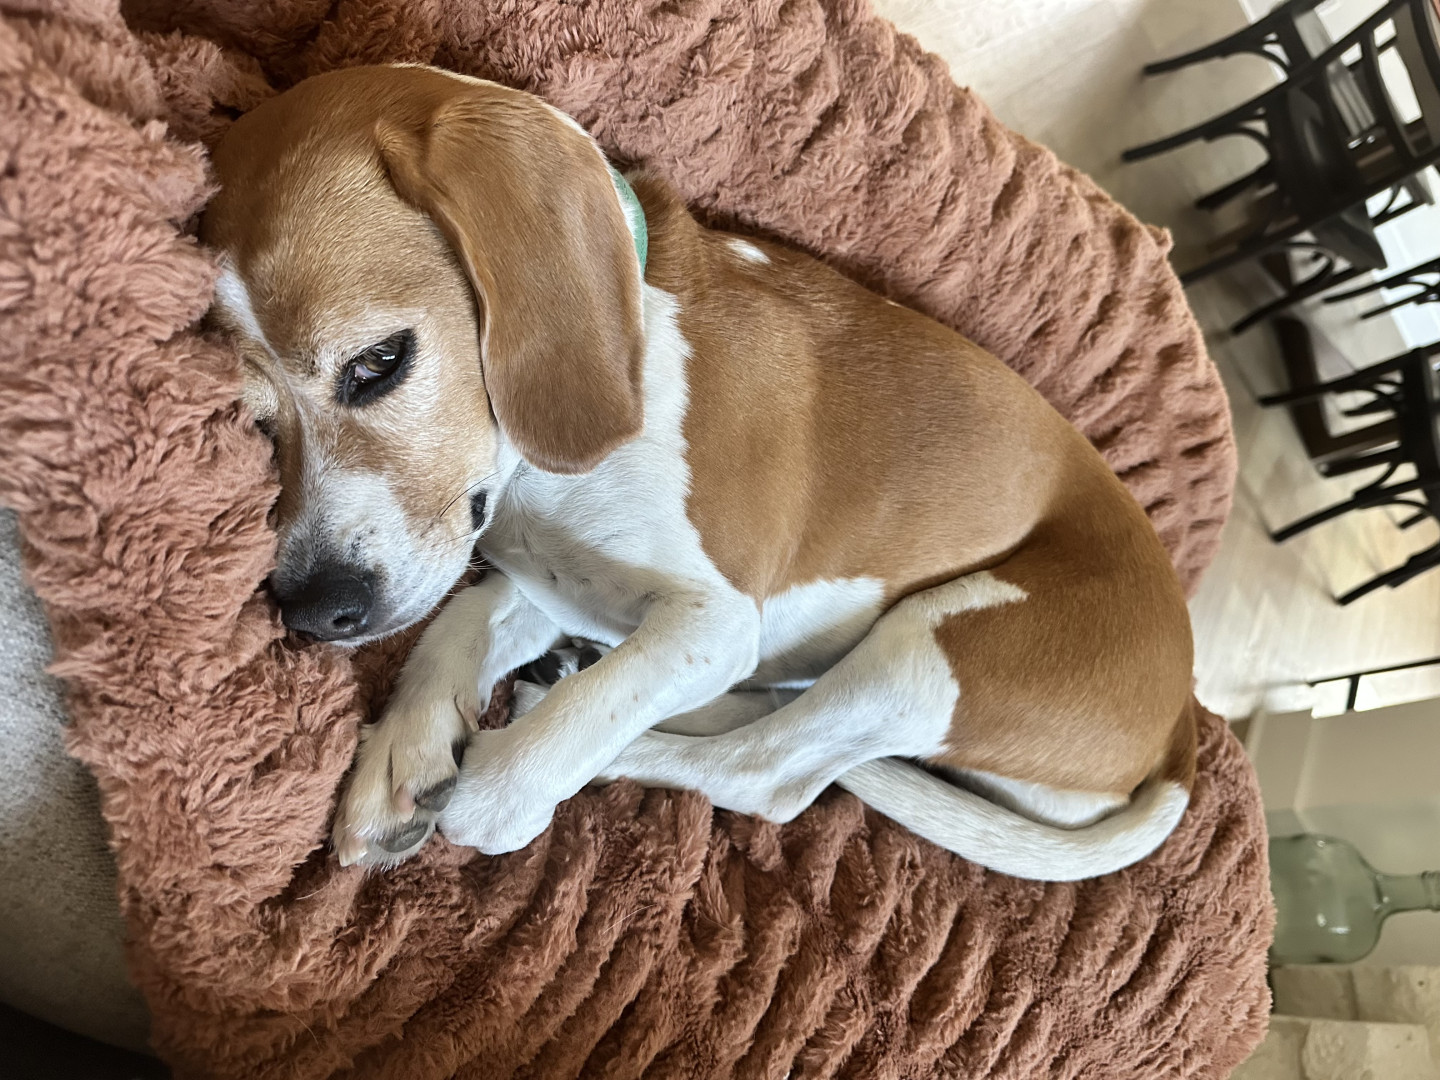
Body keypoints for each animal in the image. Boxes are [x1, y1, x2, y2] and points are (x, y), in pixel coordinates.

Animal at [199, 64, 1196, 881]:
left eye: (378, 362)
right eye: (258, 418)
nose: (312, 610)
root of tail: (1186, 714)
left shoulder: (712, 620)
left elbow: (570, 727)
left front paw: (500, 779)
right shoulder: (561, 580)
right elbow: (461, 622)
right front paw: (402, 756)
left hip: (934, 650)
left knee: (768, 773)